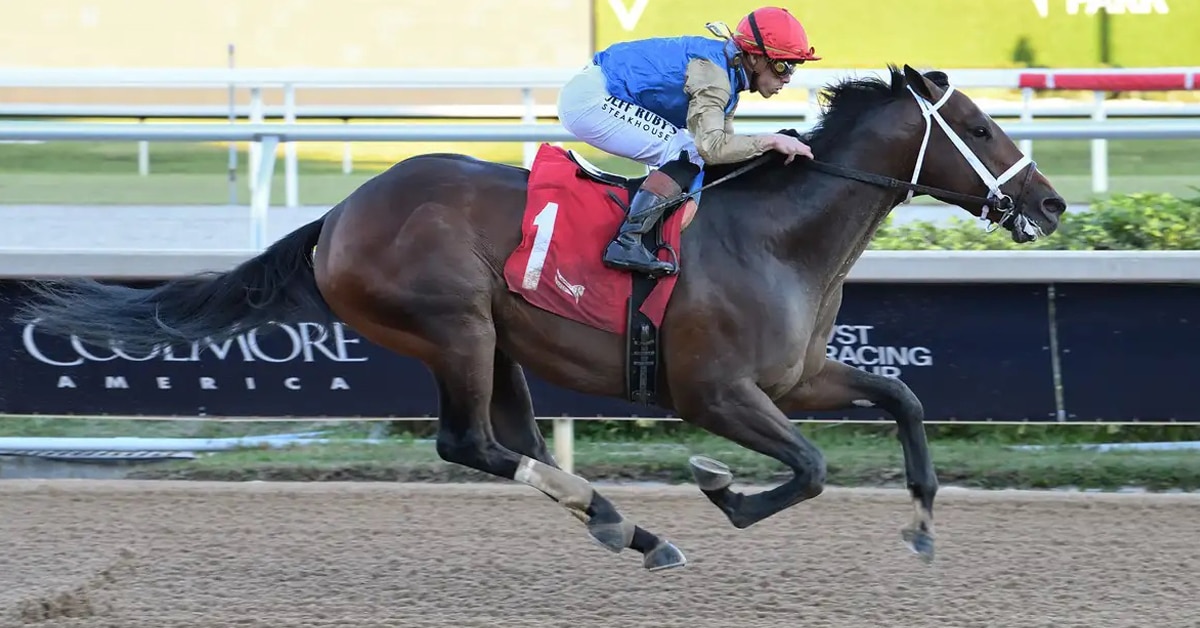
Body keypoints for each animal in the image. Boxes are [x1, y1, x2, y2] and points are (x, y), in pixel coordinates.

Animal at [15, 64, 1065, 573]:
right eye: (980, 128)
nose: (1050, 204)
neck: (779, 236)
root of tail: (339, 216)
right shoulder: (714, 392)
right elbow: (805, 469)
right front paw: (722, 491)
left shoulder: (800, 376)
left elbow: (906, 399)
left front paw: (922, 527)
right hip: (453, 328)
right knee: (466, 444)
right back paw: (623, 522)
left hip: (500, 342)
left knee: (507, 442)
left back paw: (624, 528)